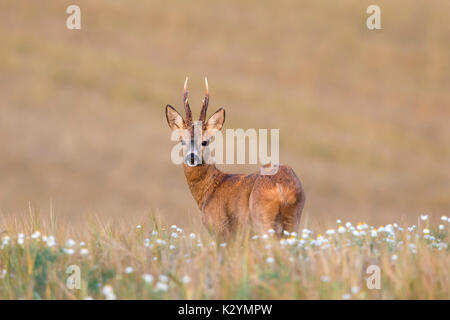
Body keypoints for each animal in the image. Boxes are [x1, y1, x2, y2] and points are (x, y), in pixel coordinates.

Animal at [165, 77, 306, 238]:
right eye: (182, 141)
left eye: (205, 141)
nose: (192, 157)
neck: (209, 190)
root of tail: (283, 191)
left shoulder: (220, 229)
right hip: (293, 220)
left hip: (262, 218)